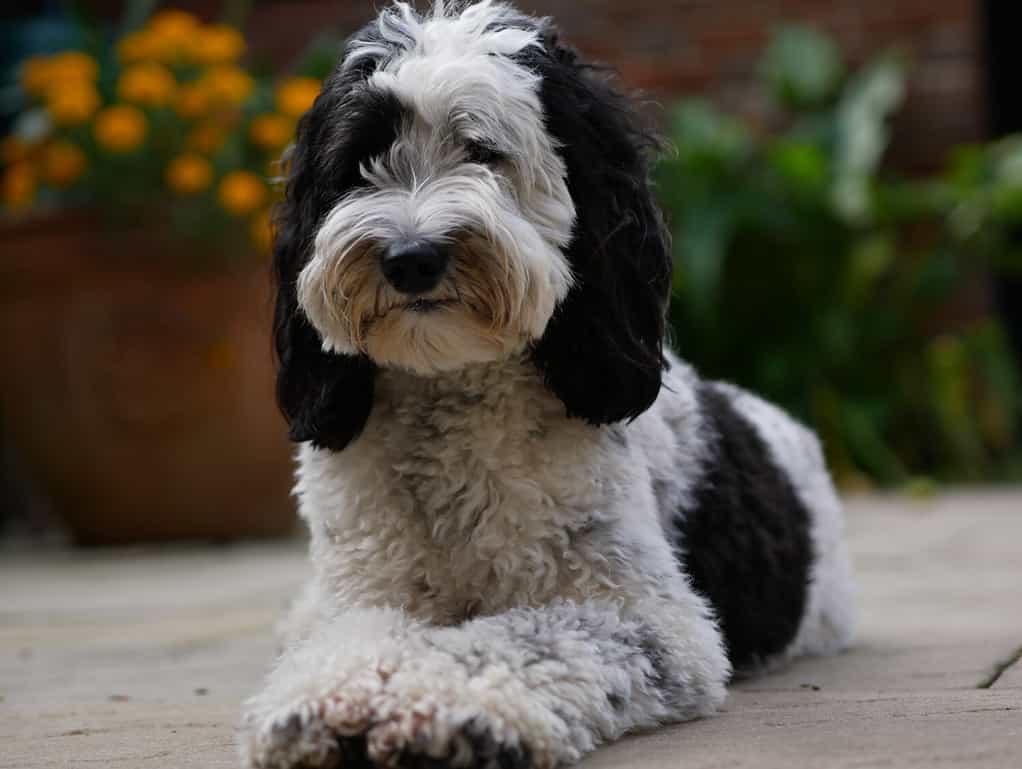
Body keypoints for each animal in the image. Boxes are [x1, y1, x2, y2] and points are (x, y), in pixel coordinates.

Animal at [239, 3, 854, 764]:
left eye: (482, 152)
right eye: (358, 162)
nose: (411, 258)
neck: (452, 395)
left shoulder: (649, 618)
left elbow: (521, 640)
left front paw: (444, 706)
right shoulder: (365, 590)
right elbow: (344, 639)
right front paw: (327, 699)